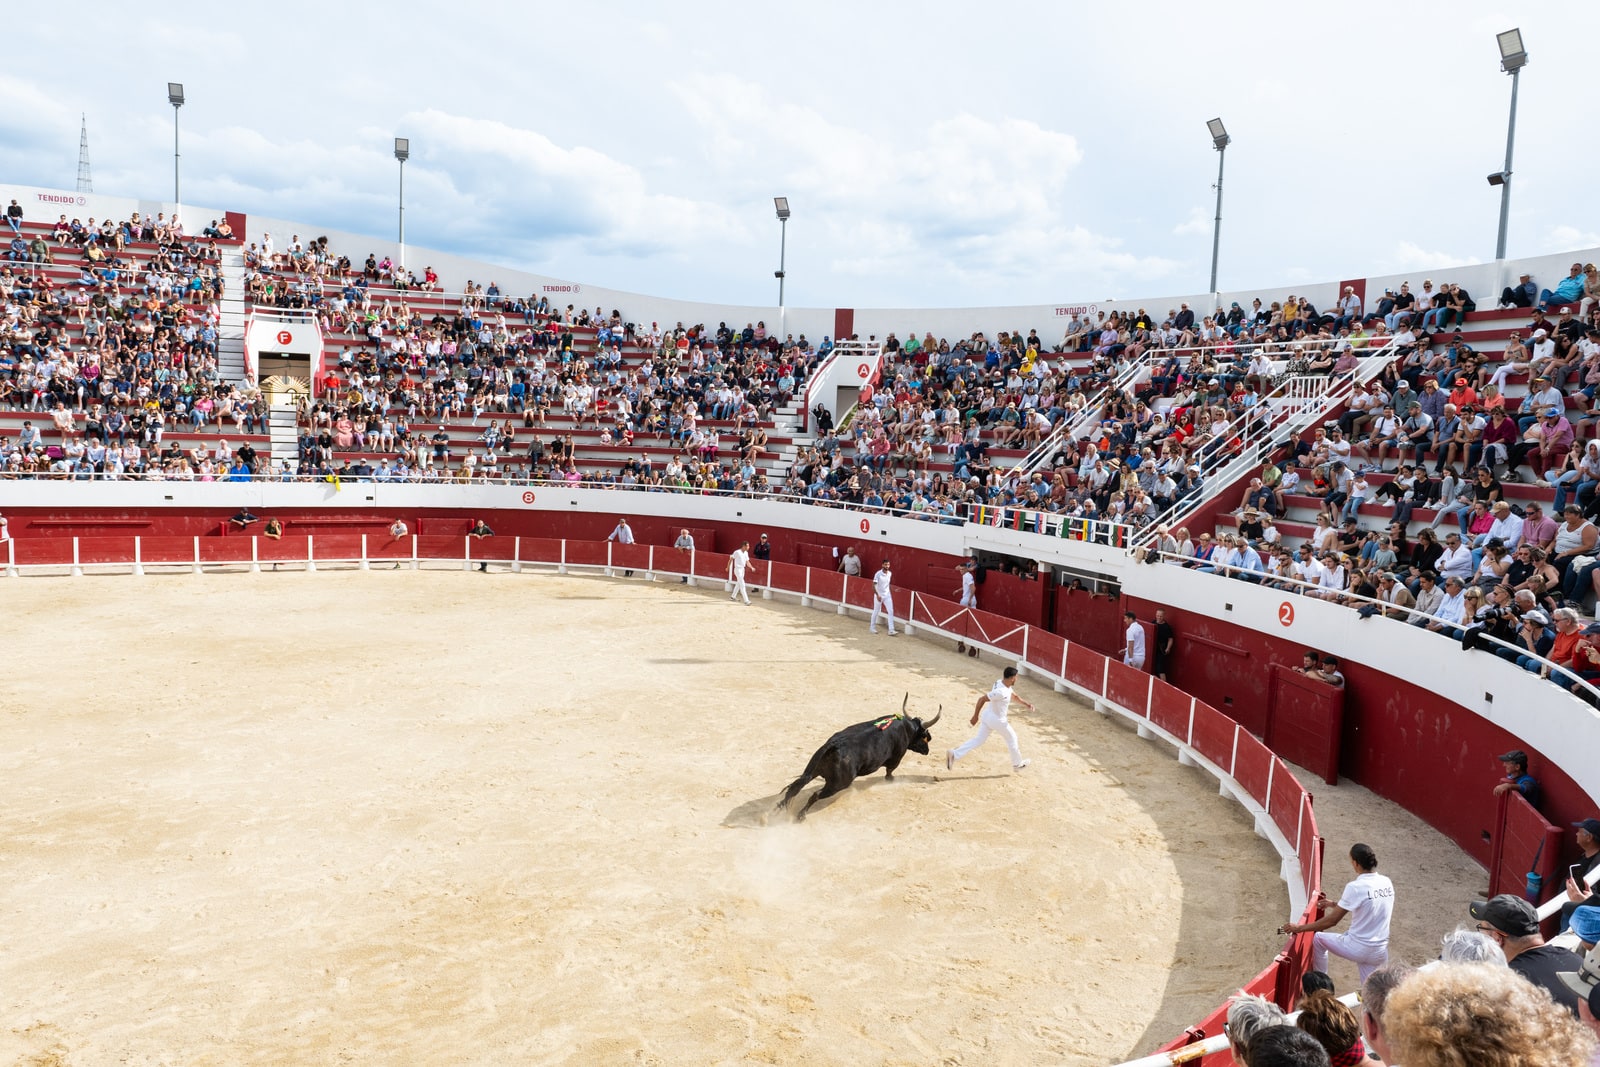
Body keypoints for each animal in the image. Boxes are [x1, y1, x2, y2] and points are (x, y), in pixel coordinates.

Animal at [774, 697, 934, 825]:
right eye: (925, 737)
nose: (927, 751)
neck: (907, 727)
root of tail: (834, 745)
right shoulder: (897, 757)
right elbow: (890, 770)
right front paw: (891, 779)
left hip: (812, 770)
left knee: (796, 786)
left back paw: (779, 808)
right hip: (839, 783)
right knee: (815, 794)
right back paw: (800, 815)